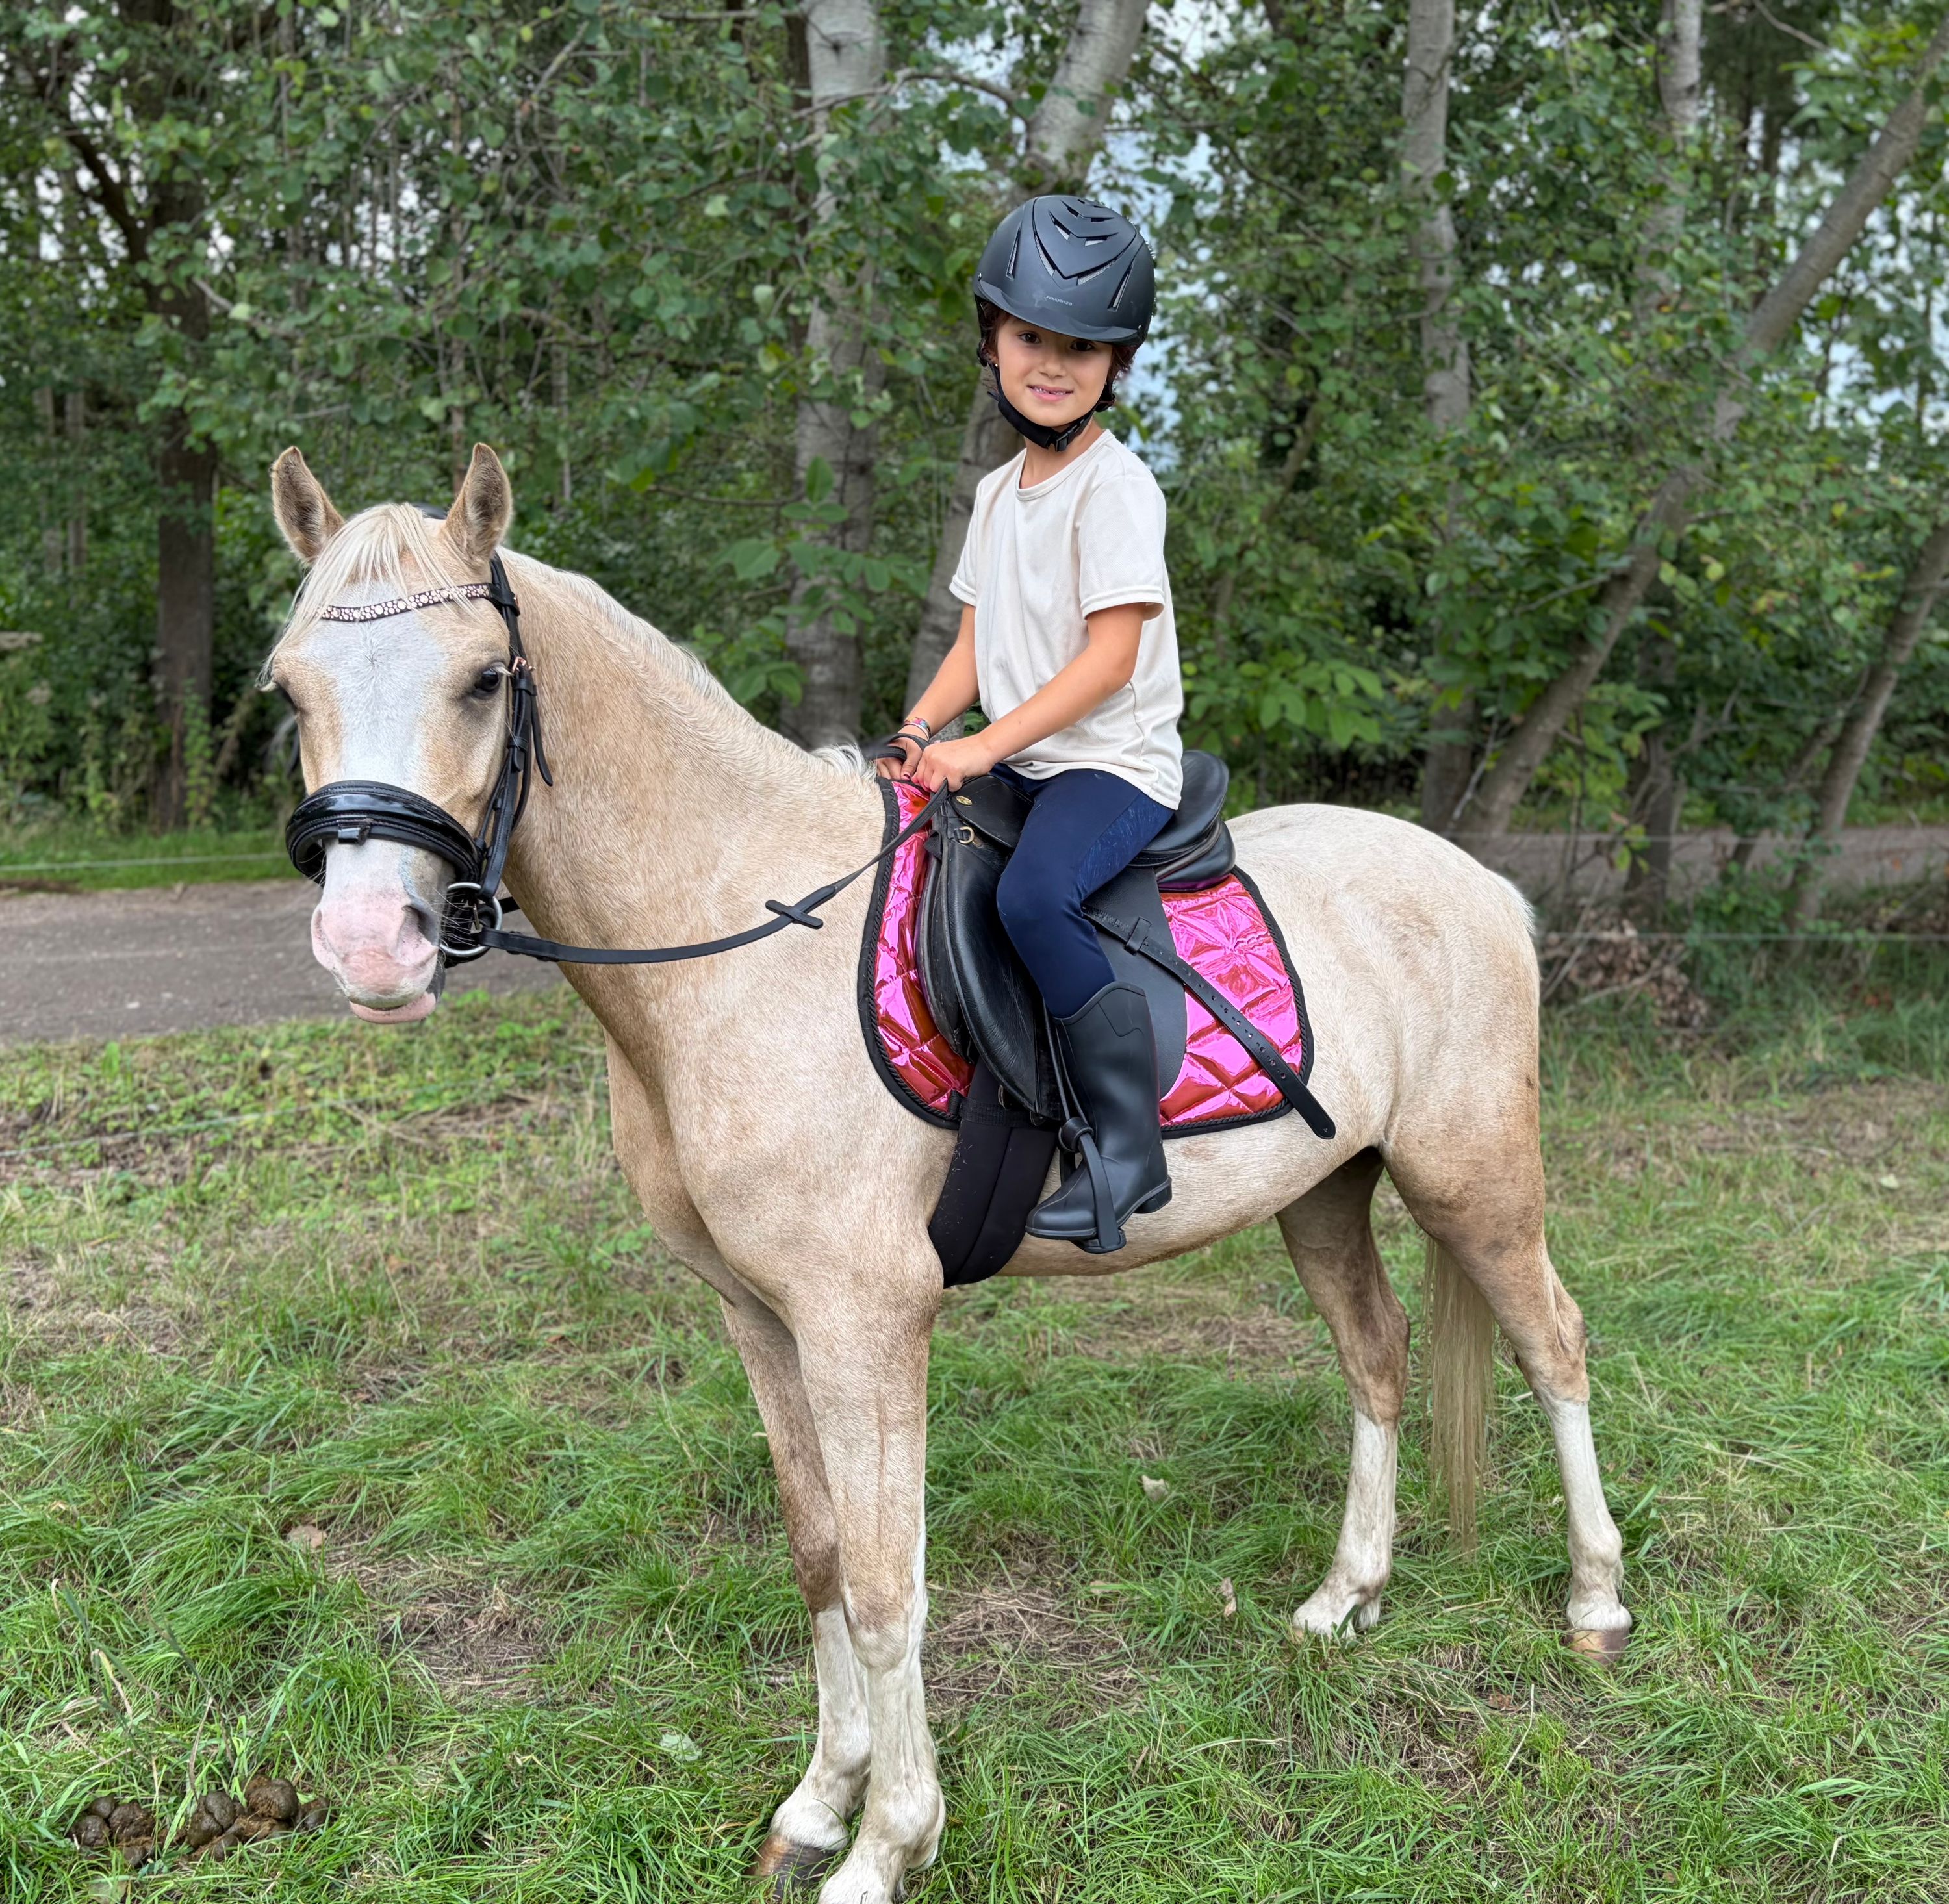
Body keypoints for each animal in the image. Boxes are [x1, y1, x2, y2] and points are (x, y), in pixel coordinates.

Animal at [265, 443, 1630, 1904]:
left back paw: (1596, 1599)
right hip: (1323, 1189)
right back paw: (1345, 1595)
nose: (372, 945)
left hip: (1472, 1177)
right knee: (1376, 1355)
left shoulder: (867, 1321)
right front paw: (819, 1803)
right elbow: (817, 1555)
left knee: (1554, 1343)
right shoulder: (760, 1315)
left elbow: (883, 1585)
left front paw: (888, 1844)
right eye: (290, 687)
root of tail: (1480, 880)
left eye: (483, 678)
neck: (740, 936)